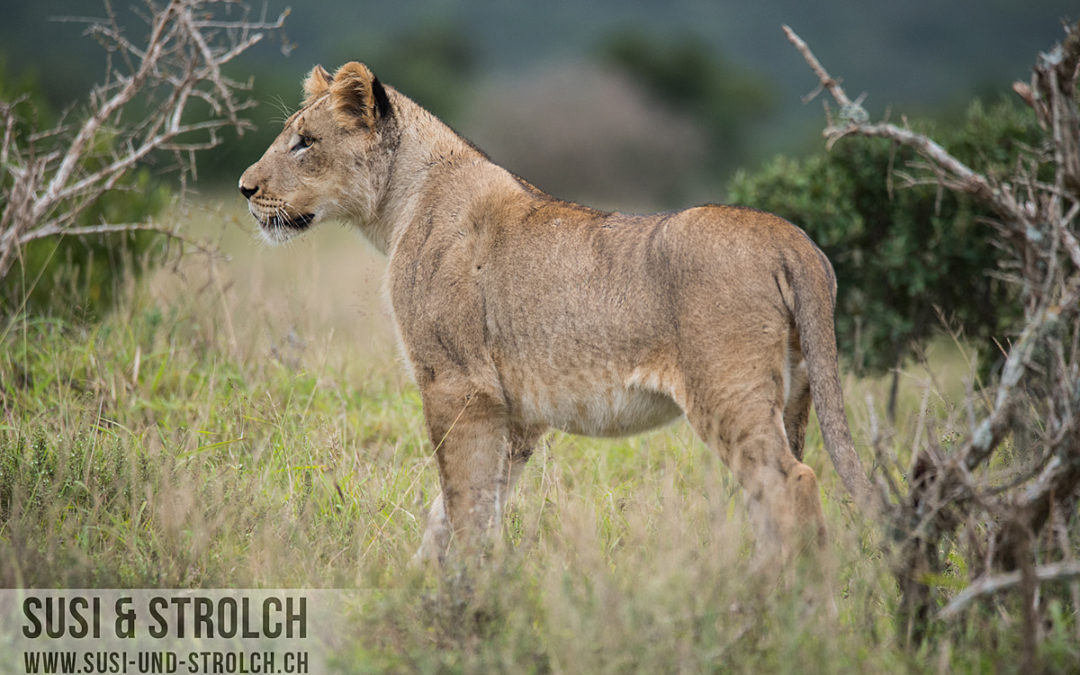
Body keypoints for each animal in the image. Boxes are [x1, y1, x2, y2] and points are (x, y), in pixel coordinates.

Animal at [238, 60, 876, 565]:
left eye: (304, 141)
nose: (245, 188)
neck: (402, 201)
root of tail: (793, 239)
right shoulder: (516, 412)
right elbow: (467, 507)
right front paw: (428, 580)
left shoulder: (458, 383)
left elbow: (461, 499)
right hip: (795, 400)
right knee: (771, 504)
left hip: (728, 393)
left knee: (793, 486)